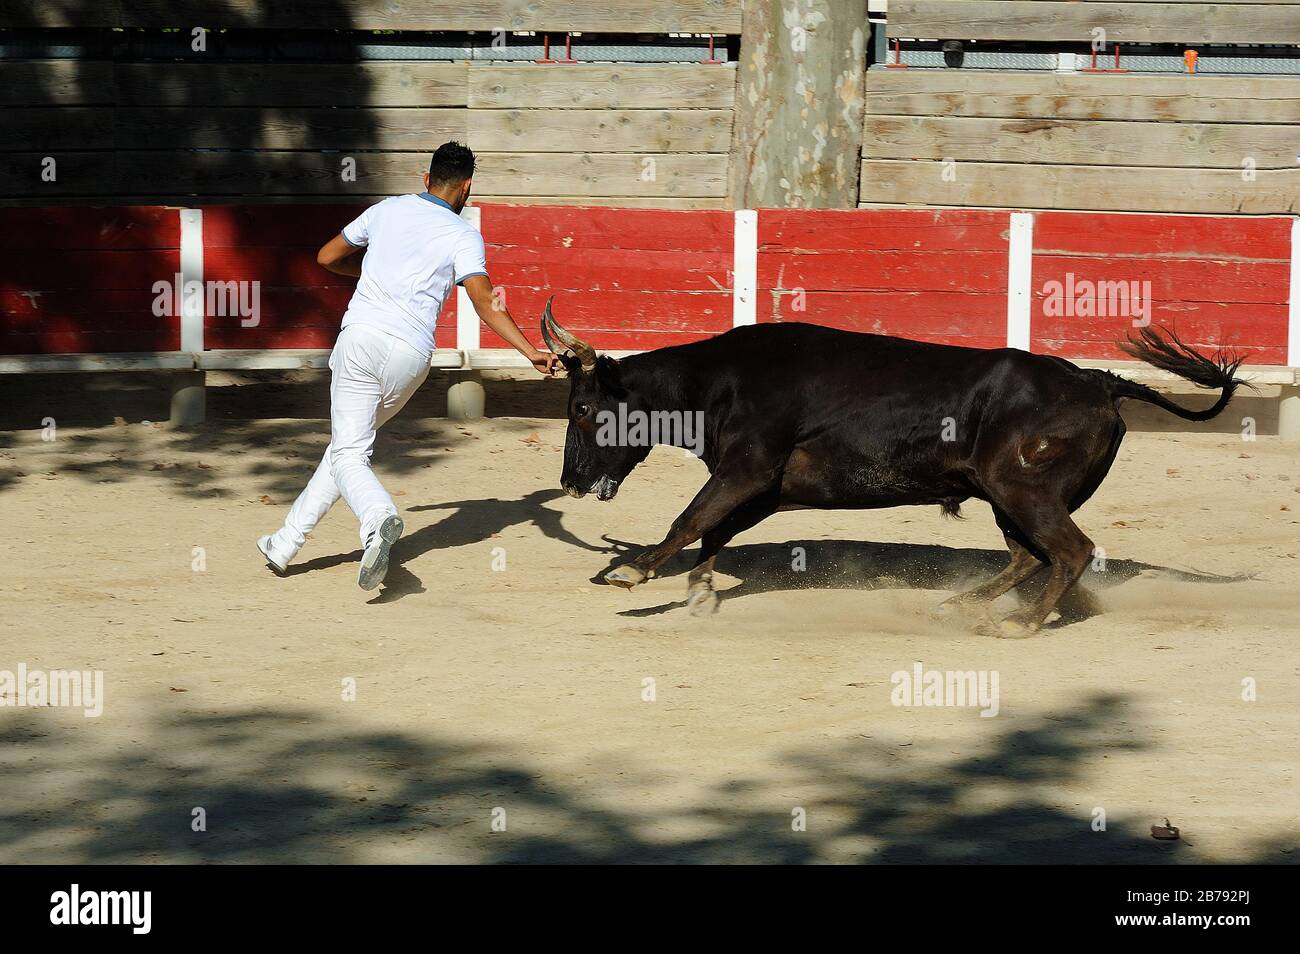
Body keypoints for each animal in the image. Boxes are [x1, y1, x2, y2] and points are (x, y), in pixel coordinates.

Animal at [535, 302, 1237, 639]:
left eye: (582, 408)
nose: (570, 482)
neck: (718, 383)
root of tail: (1098, 381)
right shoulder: (766, 487)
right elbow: (714, 529)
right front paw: (700, 591)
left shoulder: (748, 470)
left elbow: (689, 520)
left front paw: (632, 573)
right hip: (1005, 495)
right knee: (1028, 556)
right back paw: (958, 605)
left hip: (1022, 488)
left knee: (1069, 551)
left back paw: (1020, 623)